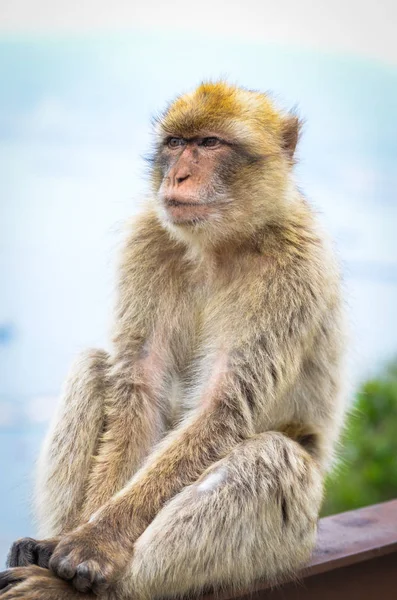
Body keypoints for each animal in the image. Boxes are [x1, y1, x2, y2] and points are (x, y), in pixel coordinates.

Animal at [0, 81, 344, 600]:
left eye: (209, 144)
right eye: (176, 143)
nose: (177, 175)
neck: (219, 245)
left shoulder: (293, 268)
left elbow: (220, 409)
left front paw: (93, 545)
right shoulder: (148, 239)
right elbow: (140, 384)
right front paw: (74, 537)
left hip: (289, 545)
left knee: (275, 457)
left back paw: (93, 587)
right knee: (95, 366)